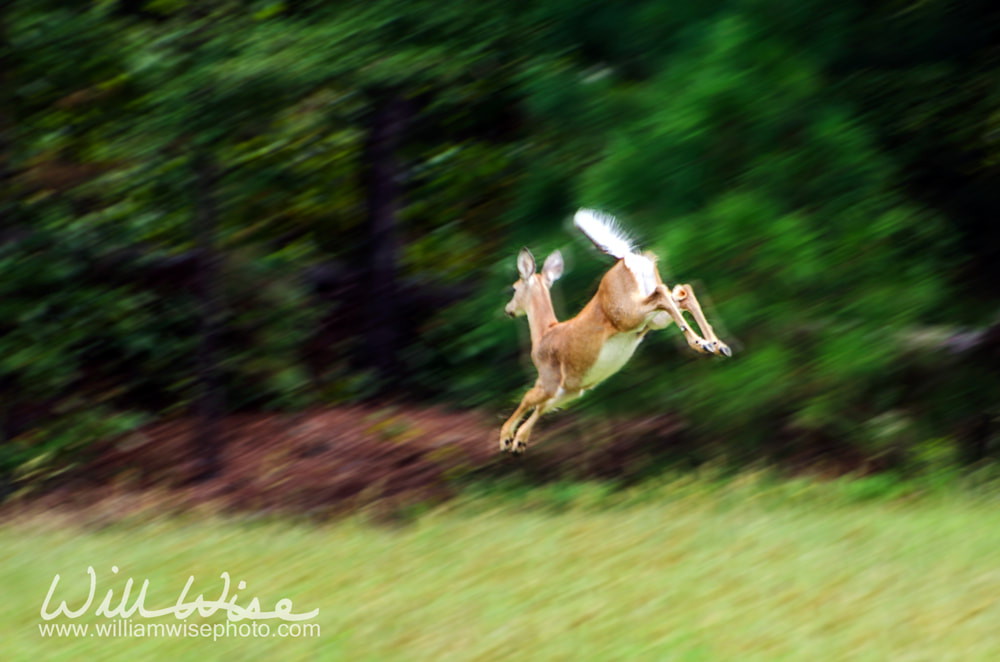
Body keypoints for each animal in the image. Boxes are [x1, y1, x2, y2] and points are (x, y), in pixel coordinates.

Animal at [504, 210, 732, 454]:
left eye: (514, 288)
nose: (508, 310)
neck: (544, 333)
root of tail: (627, 258)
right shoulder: (573, 388)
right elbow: (543, 407)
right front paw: (519, 441)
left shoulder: (549, 377)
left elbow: (527, 398)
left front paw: (505, 438)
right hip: (651, 317)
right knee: (683, 292)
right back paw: (718, 345)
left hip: (627, 313)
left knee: (664, 294)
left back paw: (701, 343)